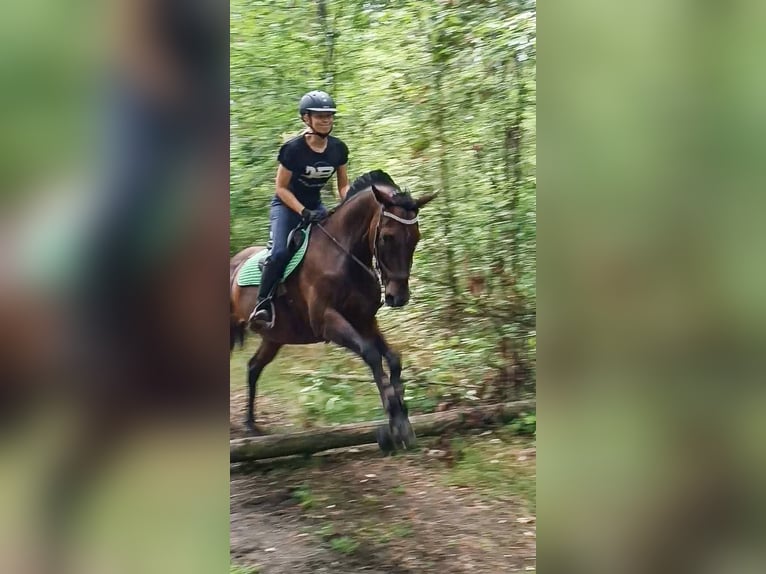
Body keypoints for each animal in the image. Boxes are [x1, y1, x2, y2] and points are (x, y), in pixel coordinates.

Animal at [230, 170, 437, 451]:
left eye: (416, 237)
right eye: (387, 237)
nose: (399, 297)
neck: (344, 254)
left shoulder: (364, 320)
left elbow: (393, 358)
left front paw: (402, 422)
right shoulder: (327, 321)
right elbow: (371, 354)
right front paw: (394, 417)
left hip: (274, 337)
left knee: (253, 367)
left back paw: (251, 425)